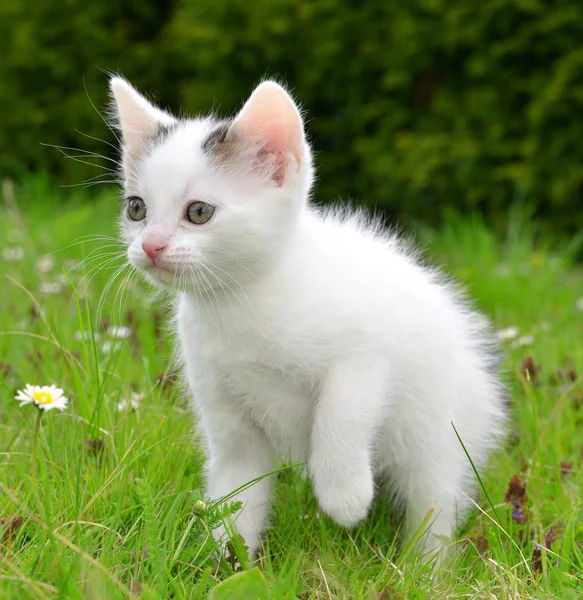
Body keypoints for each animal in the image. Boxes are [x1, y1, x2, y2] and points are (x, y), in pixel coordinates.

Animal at [109, 76, 506, 564]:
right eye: (136, 209)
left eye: (199, 212)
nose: (150, 246)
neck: (241, 302)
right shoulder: (228, 416)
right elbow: (236, 489)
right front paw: (224, 559)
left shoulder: (365, 356)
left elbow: (341, 413)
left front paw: (344, 497)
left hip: (440, 431)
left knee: (434, 500)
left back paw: (423, 568)